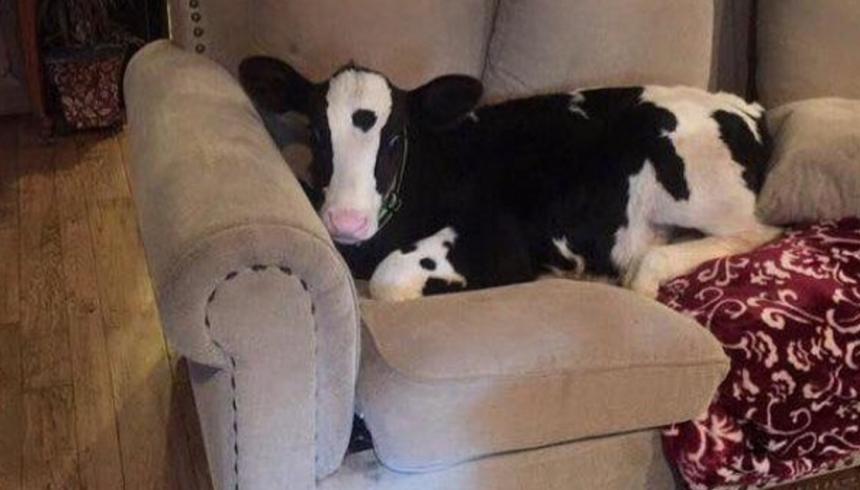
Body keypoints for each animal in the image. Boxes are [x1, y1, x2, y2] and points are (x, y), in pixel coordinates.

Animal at [239, 57, 780, 301]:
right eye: (315, 131)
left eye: (395, 138)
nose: (346, 221)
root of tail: (744, 105)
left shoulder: (500, 242)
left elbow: (391, 278)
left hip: (693, 187)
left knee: (757, 231)